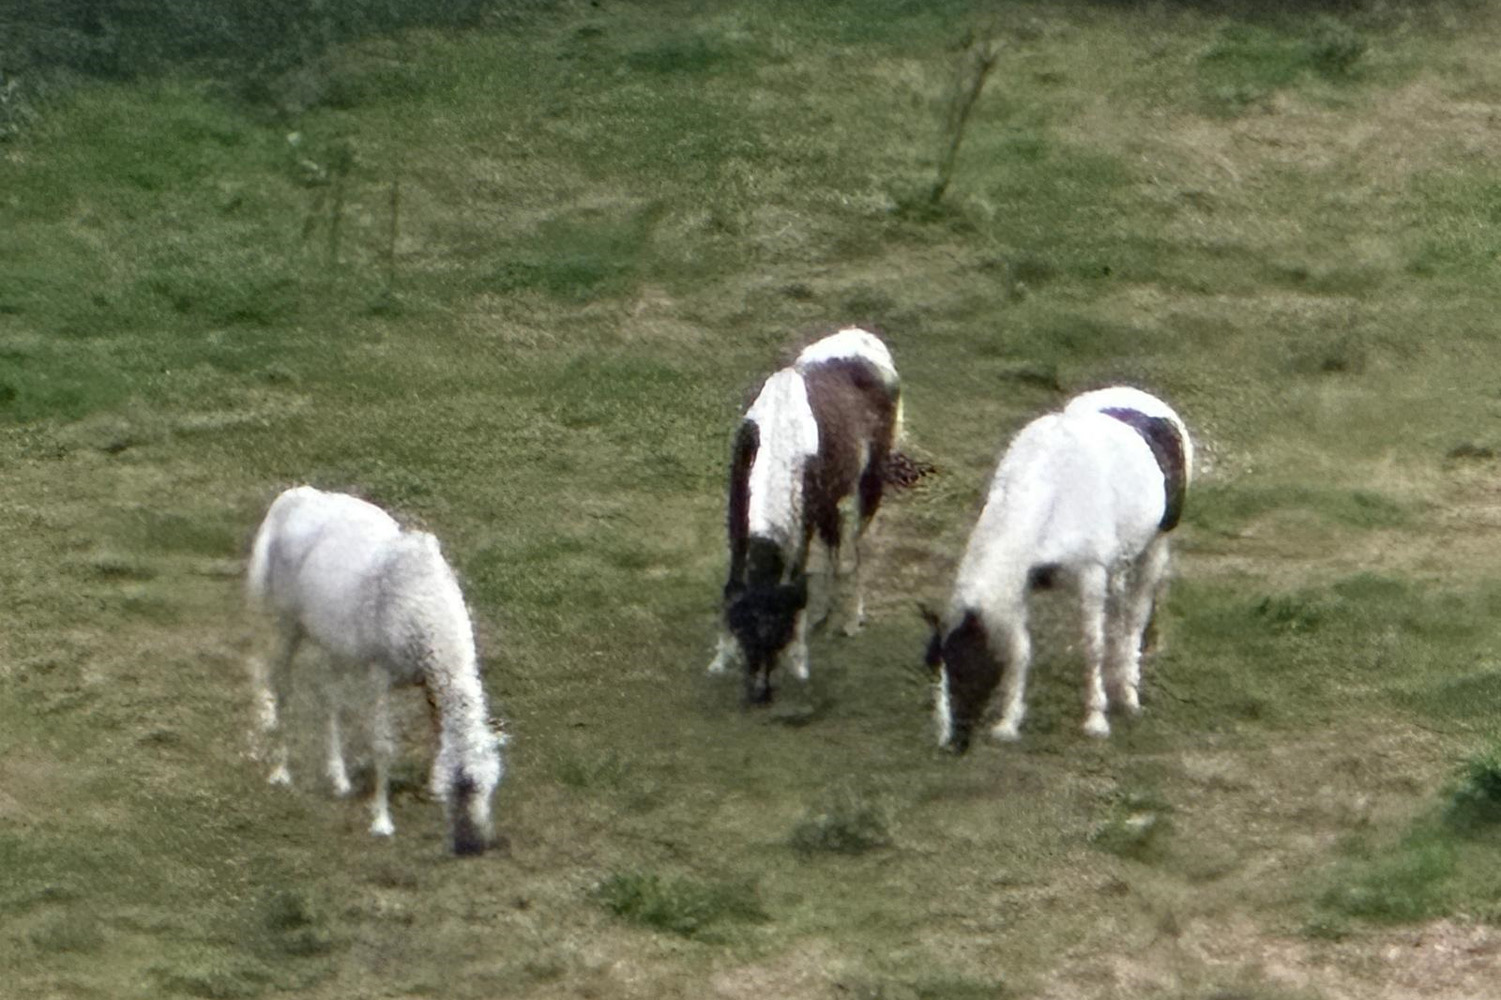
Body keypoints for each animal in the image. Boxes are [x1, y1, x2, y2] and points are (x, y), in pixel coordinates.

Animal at [246, 486, 504, 855]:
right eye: (467, 784)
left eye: (493, 783)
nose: (480, 843)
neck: (423, 604)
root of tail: (290, 499)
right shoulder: (381, 676)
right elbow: (383, 745)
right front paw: (381, 821)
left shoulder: (429, 681)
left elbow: (438, 731)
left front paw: (432, 789)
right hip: (285, 624)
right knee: (281, 688)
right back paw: (281, 772)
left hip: (332, 642)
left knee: (329, 699)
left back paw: (339, 779)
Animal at [707, 328, 901, 704]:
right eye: (746, 635)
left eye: (778, 638)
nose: (760, 695)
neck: (779, 436)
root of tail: (866, 338)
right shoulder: (737, 520)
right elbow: (733, 584)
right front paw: (722, 658)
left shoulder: (804, 523)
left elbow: (798, 580)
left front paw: (799, 661)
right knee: (836, 544)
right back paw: (823, 616)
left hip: (869, 484)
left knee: (855, 550)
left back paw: (851, 619)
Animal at [924, 387, 1192, 753]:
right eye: (936, 667)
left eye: (965, 667)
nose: (949, 744)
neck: (1051, 487)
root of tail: (1143, 398)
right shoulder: (1020, 585)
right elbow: (1020, 650)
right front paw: (1008, 724)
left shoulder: (1091, 575)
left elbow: (1092, 646)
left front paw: (1095, 720)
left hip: (1156, 547)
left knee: (1136, 618)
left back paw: (1128, 692)